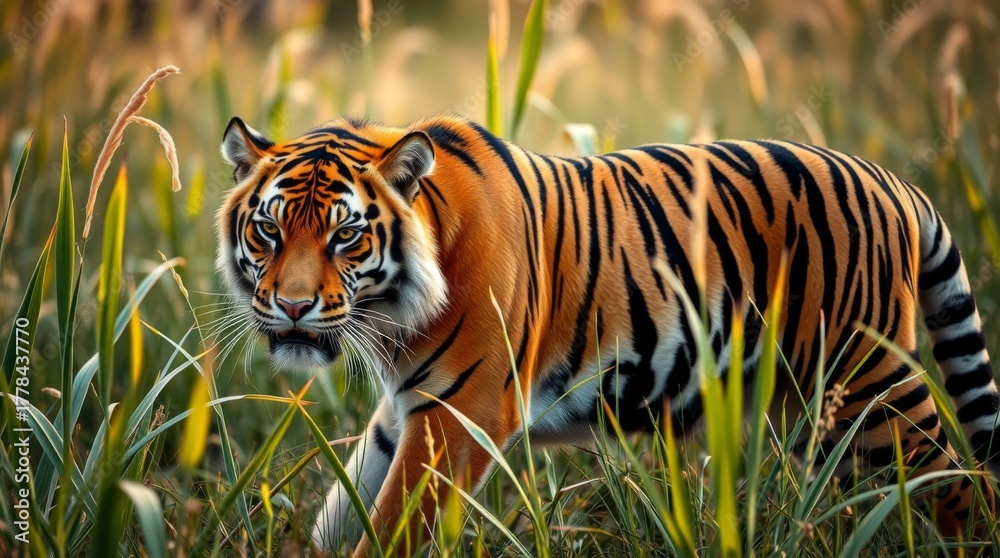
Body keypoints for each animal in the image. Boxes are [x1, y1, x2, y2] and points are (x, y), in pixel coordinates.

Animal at [216, 113, 1000, 555]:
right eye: (268, 230)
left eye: (346, 236)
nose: (290, 308)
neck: (391, 317)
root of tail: (896, 183)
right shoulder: (405, 412)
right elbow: (346, 506)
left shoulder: (458, 415)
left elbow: (392, 527)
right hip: (817, 413)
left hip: (873, 385)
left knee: (958, 481)